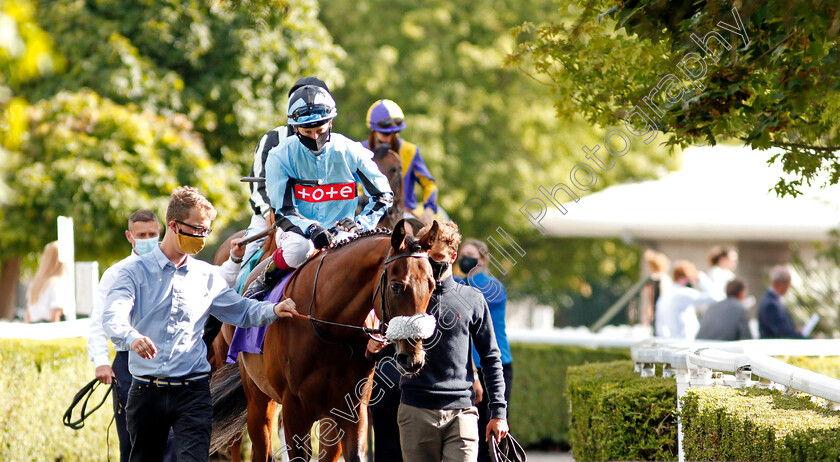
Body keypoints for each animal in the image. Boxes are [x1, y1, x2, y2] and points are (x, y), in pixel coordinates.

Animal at [212, 222, 440, 460]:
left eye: (432, 285)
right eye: (396, 286)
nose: (412, 358)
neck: (331, 331)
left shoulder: (352, 410)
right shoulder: (295, 410)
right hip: (258, 399)